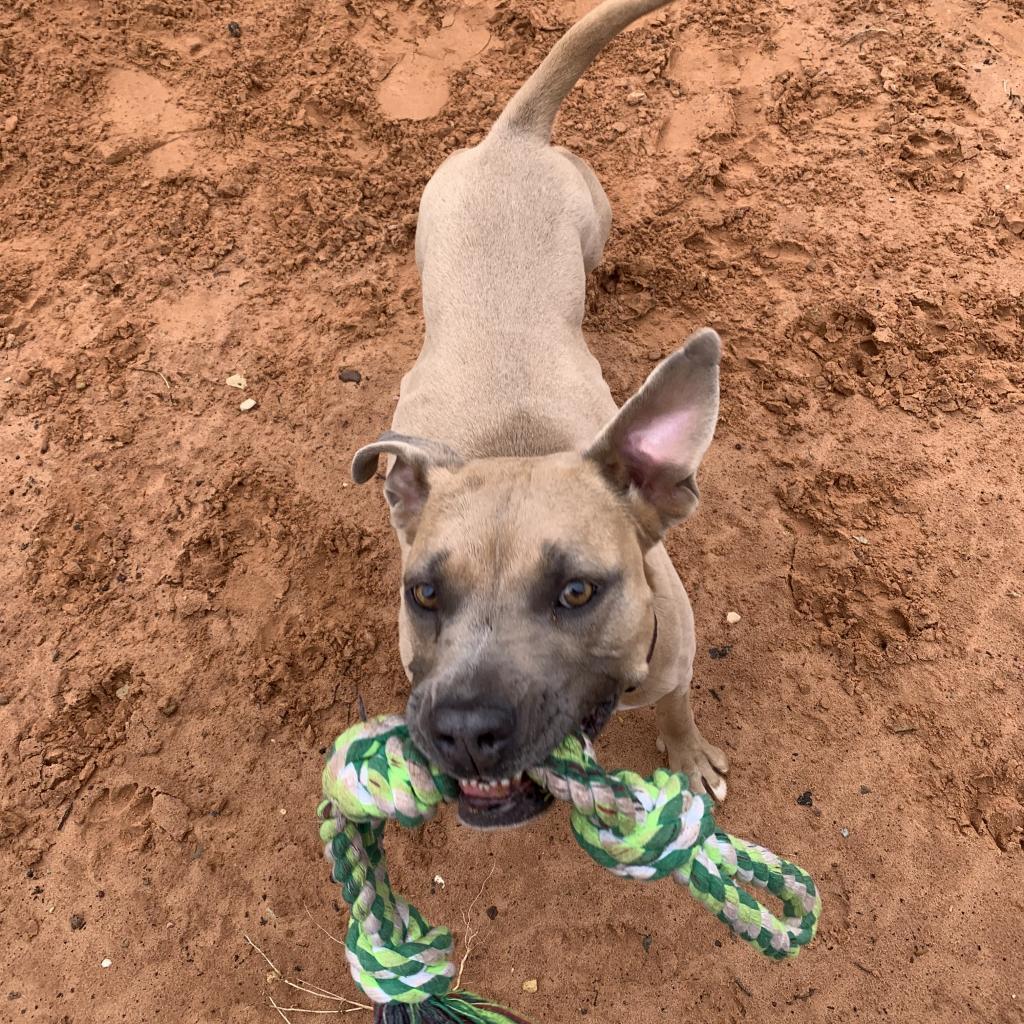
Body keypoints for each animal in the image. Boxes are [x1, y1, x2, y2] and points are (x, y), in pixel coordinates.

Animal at [354, 0, 729, 827]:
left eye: (577, 592)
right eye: (424, 594)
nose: (463, 730)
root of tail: (512, 138)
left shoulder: (678, 663)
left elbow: (679, 707)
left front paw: (688, 756)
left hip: (593, 213)